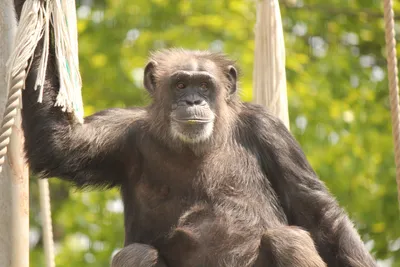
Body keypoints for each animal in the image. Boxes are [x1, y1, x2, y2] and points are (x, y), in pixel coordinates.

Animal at [12, 1, 376, 266]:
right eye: (180, 85)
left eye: (203, 85)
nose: (193, 101)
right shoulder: (120, 132)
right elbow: (59, 145)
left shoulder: (269, 130)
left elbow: (315, 209)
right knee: (136, 253)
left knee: (288, 238)